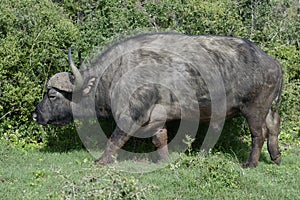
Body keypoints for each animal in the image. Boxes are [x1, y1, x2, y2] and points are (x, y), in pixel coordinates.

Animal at [34, 32, 282, 167]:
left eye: (52, 95)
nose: (36, 115)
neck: (116, 73)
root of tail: (272, 61)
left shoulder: (132, 114)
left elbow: (115, 137)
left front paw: (102, 160)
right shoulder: (155, 118)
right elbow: (159, 139)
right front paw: (163, 159)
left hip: (254, 109)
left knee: (258, 134)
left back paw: (250, 163)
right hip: (269, 109)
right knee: (273, 127)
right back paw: (276, 156)